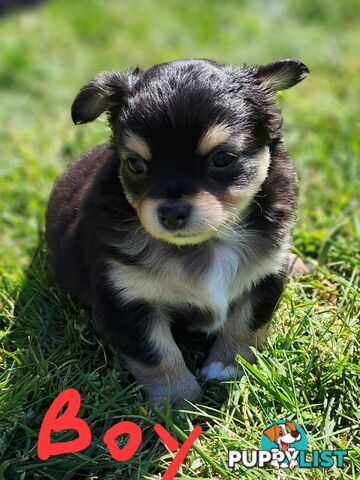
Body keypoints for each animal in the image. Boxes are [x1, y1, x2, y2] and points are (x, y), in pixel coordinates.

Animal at [45, 58, 310, 406]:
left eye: (223, 158)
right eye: (135, 164)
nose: (170, 213)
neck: (206, 245)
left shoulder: (266, 275)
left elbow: (246, 323)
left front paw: (226, 365)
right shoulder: (125, 300)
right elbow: (158, 355)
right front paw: (180, 401)